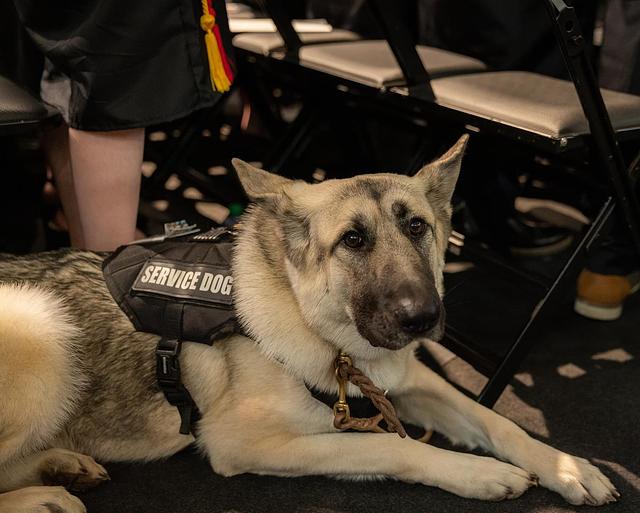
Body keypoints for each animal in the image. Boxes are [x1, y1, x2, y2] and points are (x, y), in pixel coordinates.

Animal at [1, 136, 620, 512]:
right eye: (353, 240)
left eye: (417, 227)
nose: (423, 317)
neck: (319, 327)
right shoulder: (246, 442)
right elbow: (390, 448)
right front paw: (472, 471)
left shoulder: (409, 380)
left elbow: (498, 421)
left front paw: (566, 465)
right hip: (43, 330)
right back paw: (43, 493)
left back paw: (59, 464)